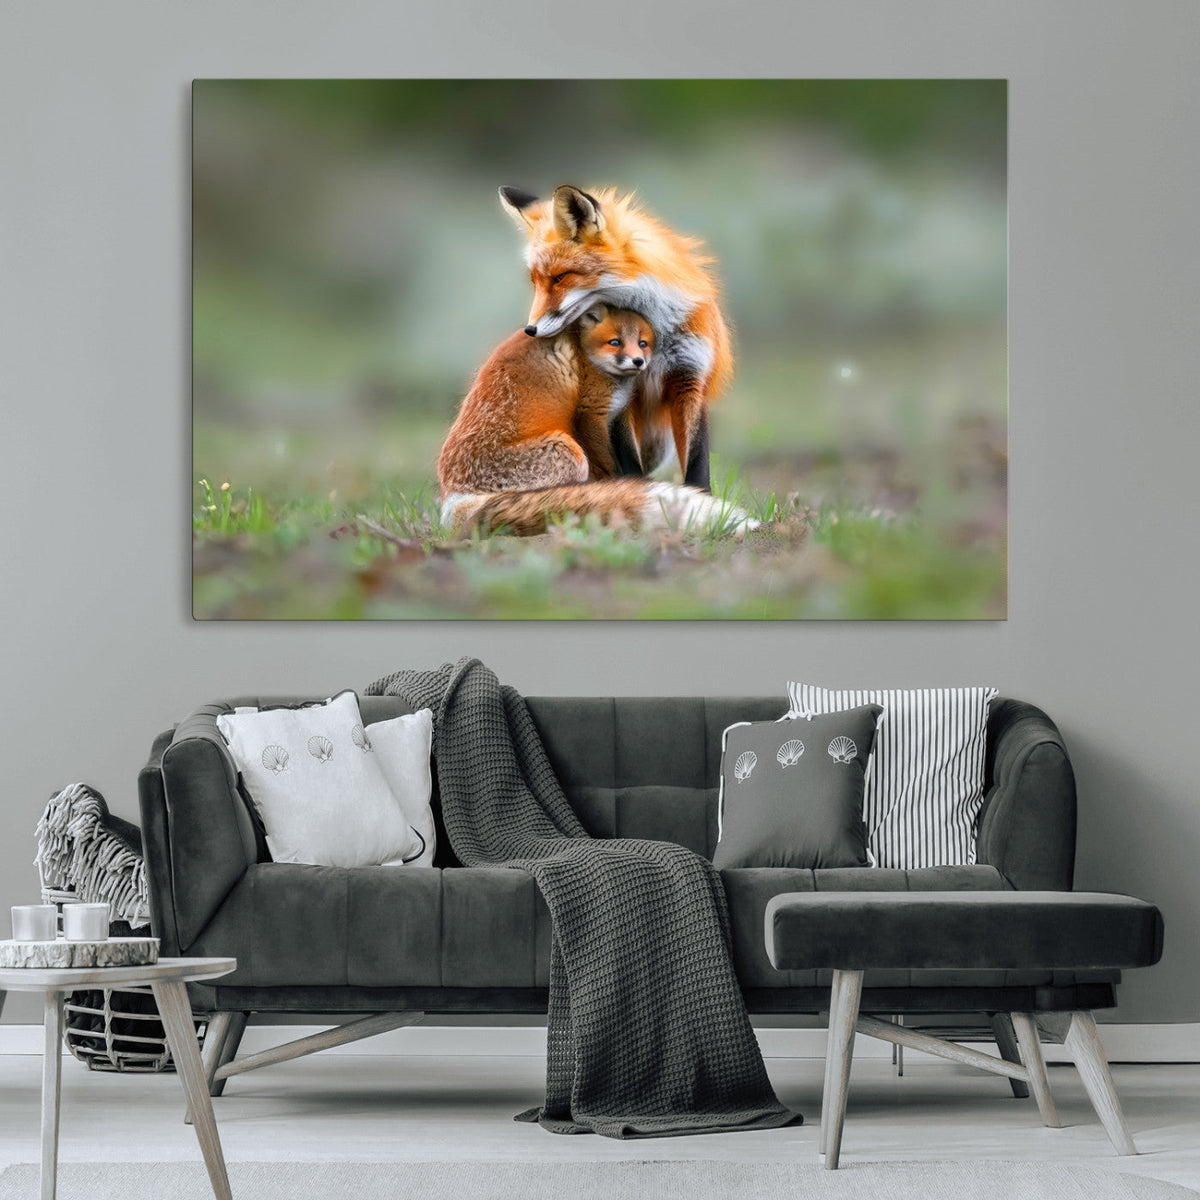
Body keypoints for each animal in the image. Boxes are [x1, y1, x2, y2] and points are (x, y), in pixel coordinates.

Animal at [498, 183, 733, 493]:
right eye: (535, 281)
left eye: (560, 277)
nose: (530, 330)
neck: (655, 333)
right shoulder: (621, 392)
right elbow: (629, 460)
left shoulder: (690, 379)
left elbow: (697, 462)